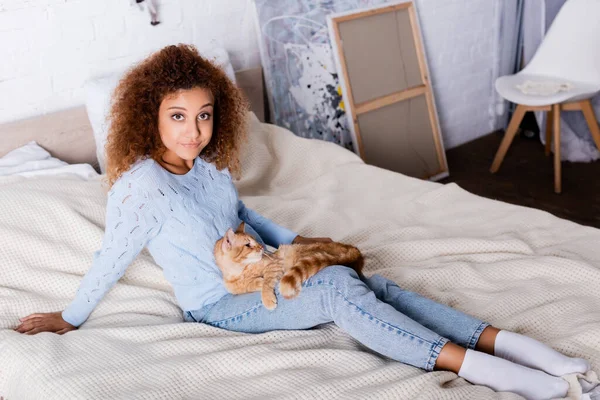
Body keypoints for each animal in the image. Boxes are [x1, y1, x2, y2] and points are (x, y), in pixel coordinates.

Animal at [216, 222, 366, 310]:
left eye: (256, 241)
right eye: (248, 245)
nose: (261, 247)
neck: (242, 271)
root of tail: (354, 250)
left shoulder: (275, 264)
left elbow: (266, 282)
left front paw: (266, 296)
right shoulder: (235, 287)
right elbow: (247, 286)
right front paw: (256, 282)